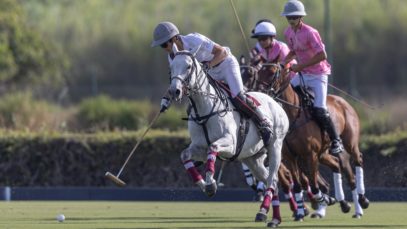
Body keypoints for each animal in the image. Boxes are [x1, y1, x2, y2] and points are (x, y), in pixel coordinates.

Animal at [168, 45, 290, 226]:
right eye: (171, 67)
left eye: (188, 66)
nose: (174, 91)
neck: (205, 109)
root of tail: (275, 102)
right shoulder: (199, 147)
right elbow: (185, 155)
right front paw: (205, 185)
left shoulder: (230, 144)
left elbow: (213, 147)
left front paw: (211, 183)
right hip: (252, 158)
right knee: (271, 179)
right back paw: (272, 216)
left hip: (275, 146)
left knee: (271, 179)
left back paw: (265, 213)